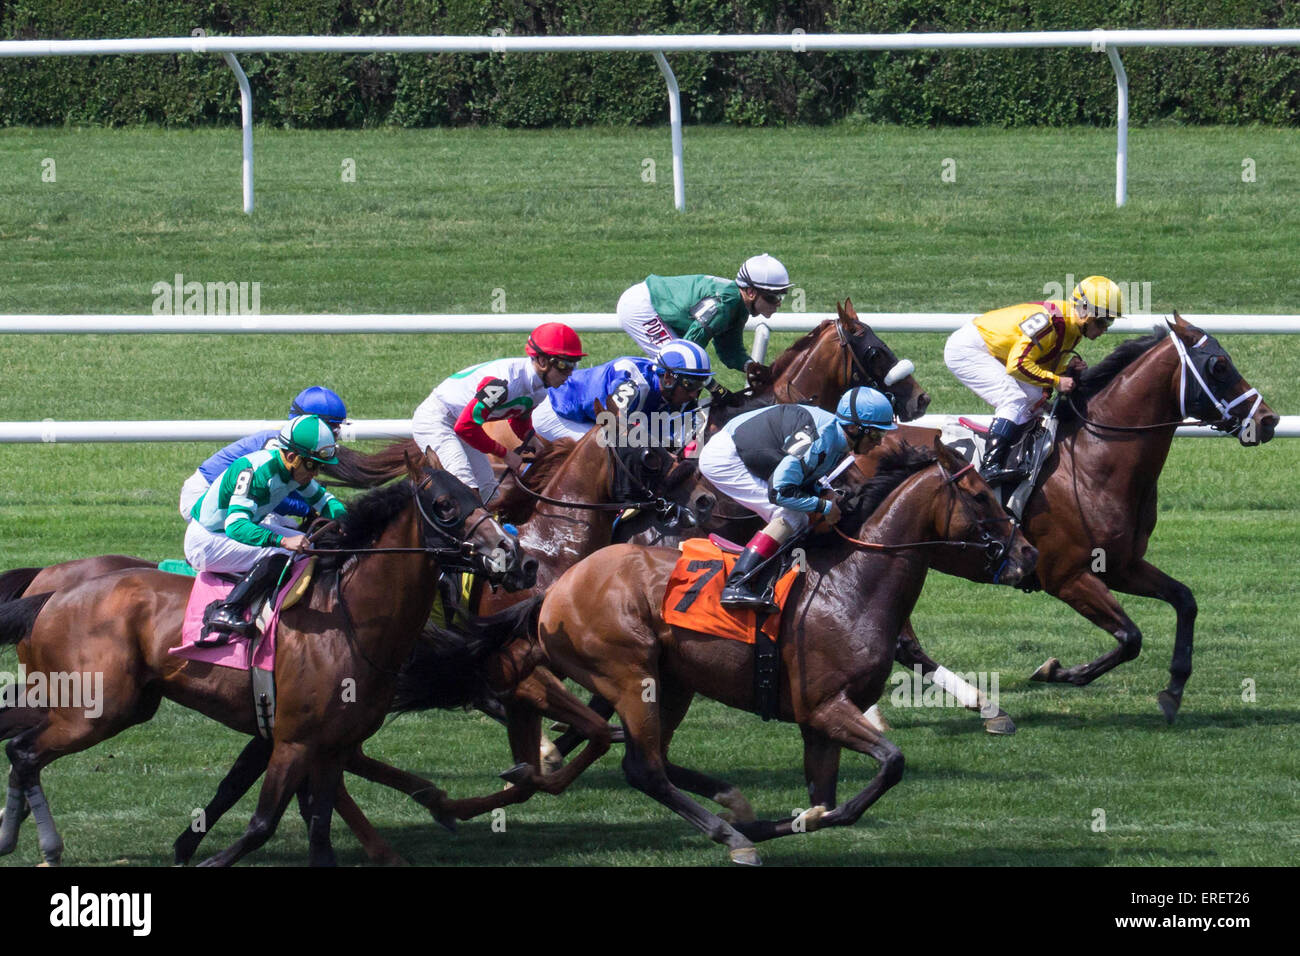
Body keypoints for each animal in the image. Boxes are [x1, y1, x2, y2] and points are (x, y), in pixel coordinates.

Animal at [0, 463, 533, 868]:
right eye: (445, 505)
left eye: (476, 494)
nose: (515, 557)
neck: (349, 616)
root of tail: (50, 595)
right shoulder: (293, 739)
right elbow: (262, 821)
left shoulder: (330, 744)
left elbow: (317, 829)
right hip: (98, 709)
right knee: (25, 752)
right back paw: (45, 845)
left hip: (100, 701)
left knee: (18, 746)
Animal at [533, 442, 1029, 868]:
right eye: (981, 497)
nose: (1027, 553)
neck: (851, 585)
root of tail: (559, 589)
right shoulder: (825, 707)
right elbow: (891, 764)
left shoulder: (819, 726)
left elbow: (829, 803)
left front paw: (791, 819)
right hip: (632, 676)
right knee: (645, 768)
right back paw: (731, 836)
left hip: (673, 682)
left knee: (652, 757)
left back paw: (730, 806)